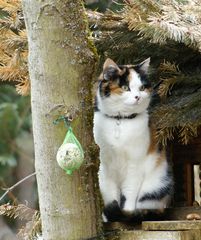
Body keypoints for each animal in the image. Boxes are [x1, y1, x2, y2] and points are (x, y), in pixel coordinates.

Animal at [92, 57, 173, 221]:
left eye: (142, 88)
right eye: (125, 87)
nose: (138, 97)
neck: (120, 120)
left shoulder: (135, 164)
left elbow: (129, 192)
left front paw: (127, 213)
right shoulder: (103, 166)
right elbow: (109, 194)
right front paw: (109, 215)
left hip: (156, 186)